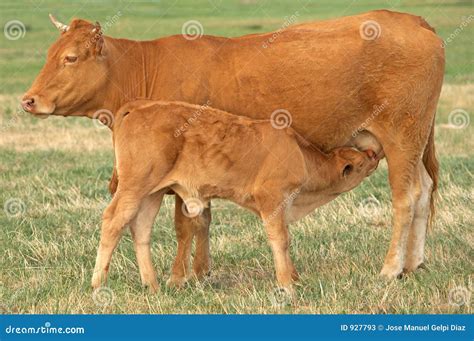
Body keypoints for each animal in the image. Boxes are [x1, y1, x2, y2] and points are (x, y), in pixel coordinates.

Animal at [91, 99, 382, 290]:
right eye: (360, 161)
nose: (374, 154)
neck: (299, 153)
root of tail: (139, 106)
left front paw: (294, 277)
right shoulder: (271, 200)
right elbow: (281, 239)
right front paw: (286, 284)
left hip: (152, 193)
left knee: (140, 228)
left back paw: (151, 285)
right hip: (134, 187)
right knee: (113, 221)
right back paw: (98, 284)